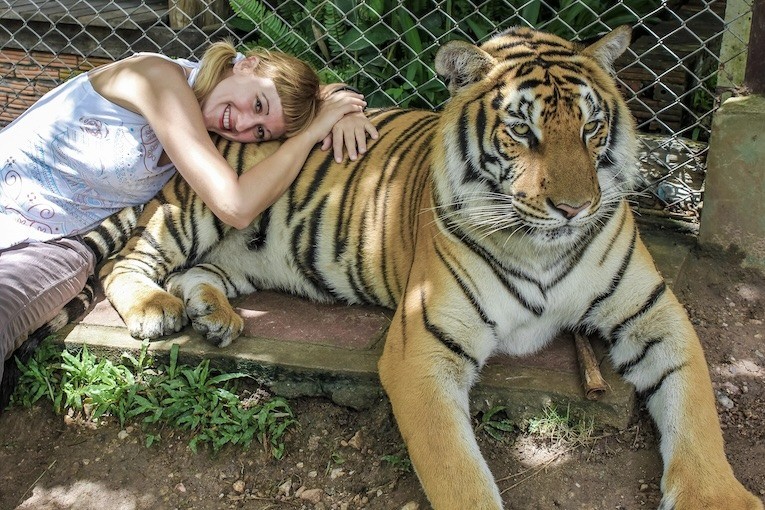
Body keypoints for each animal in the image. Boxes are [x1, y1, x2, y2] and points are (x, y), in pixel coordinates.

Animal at [23, 24, 764, 510]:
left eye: (589, 127)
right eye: (521, 130)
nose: (574, 209)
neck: (542, 244)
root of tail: (210, 137)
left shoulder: (655, 314)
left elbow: (698, 417)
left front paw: (719, 494)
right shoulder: (421, 345)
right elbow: (458, 474)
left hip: (240, 252)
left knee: (195, 273)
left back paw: (214, 316)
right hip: (196, 209)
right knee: (131, 259)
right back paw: (157, 312)